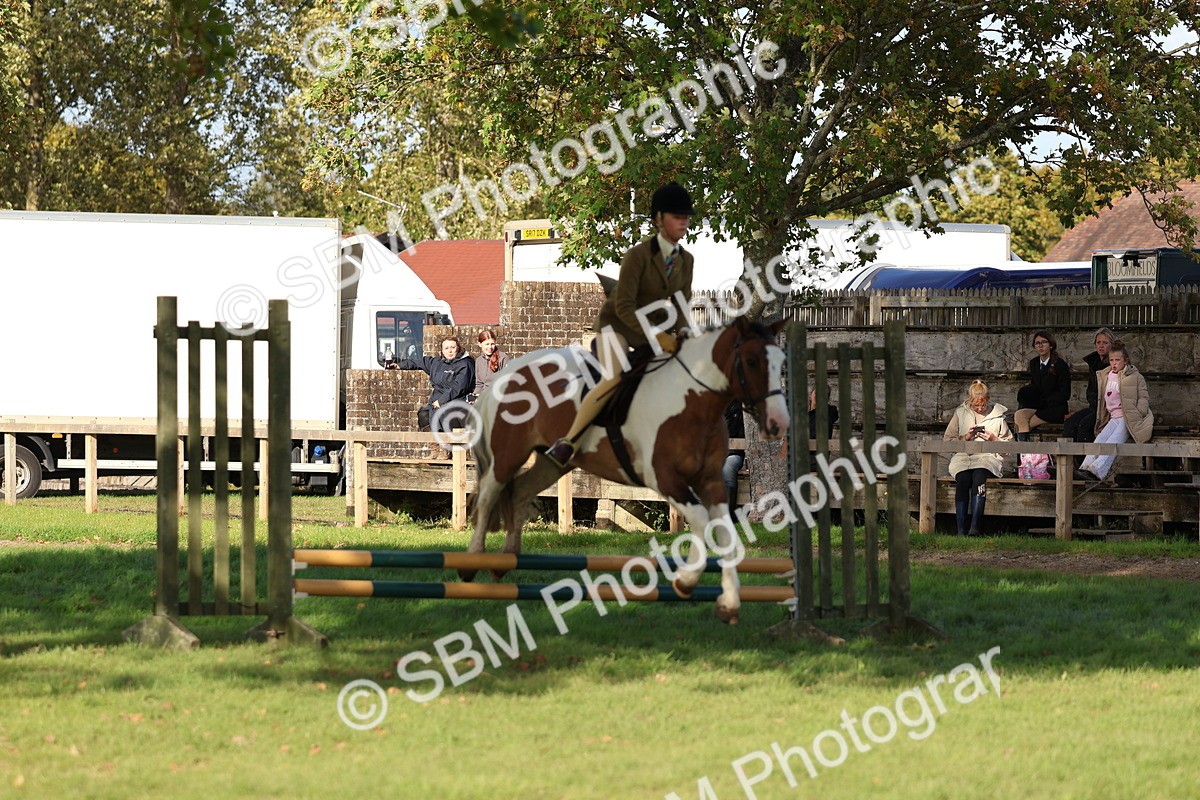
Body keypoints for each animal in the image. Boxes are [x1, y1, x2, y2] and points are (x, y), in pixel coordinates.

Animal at [463, 316, 790, 624]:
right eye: (751, 361)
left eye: (781, 362)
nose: (778, 423)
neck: (692, 400)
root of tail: (506, 375)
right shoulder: (665, 478)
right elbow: (700, 519)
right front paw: (686, 581)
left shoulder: (711, 481)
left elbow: (725, 532)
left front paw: (729, 603)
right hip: (507, 455)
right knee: (489, 494)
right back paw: (472, 562)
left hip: (551, 462)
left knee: (519, 492)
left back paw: (506, 560)